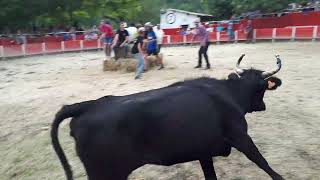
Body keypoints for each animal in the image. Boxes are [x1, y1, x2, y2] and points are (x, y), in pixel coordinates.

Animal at [52, 54, 284, 179]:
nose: (262, 105)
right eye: (262, 88)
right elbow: (264, 164)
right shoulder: (240, 137)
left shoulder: (203, 151)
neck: (229, 94)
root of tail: (90, 104)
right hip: (105, 174)